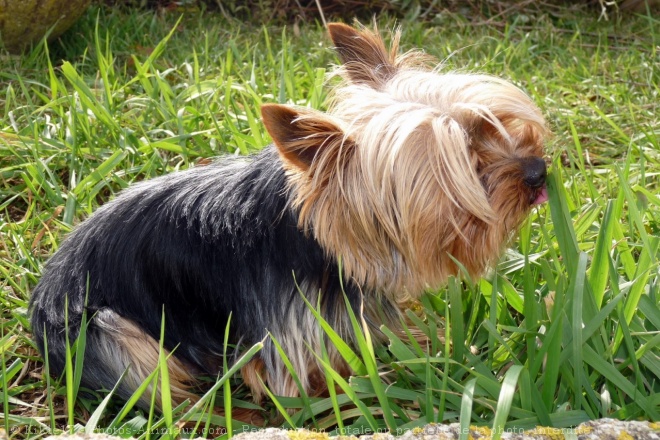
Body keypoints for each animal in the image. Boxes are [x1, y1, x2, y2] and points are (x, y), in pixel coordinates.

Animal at [29, 23, 548, 420]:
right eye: (465, 165)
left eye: (489, 126)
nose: (538, 171)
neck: (316, 239)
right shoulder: (290, 345)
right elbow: (315, 388)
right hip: (103, 333)